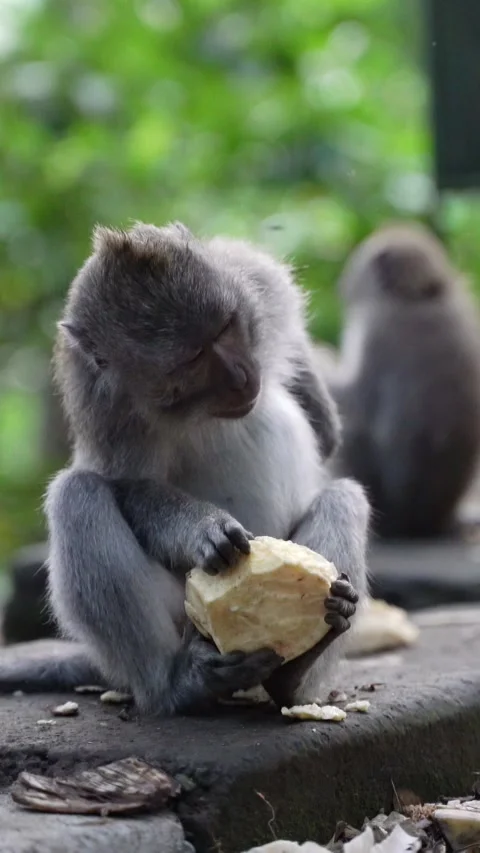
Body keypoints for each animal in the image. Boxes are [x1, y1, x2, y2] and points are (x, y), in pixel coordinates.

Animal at [0, 222, 370, 715]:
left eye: (227, 327)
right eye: (192, 359)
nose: (242, 376)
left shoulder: (257, 280)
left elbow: (327, 435)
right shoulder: (101, 403)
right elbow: (129, 484)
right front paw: (201, 529)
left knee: (344, 497)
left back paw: (297, 671)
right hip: (183, 620)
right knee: (77, 495)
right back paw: (177, 684)